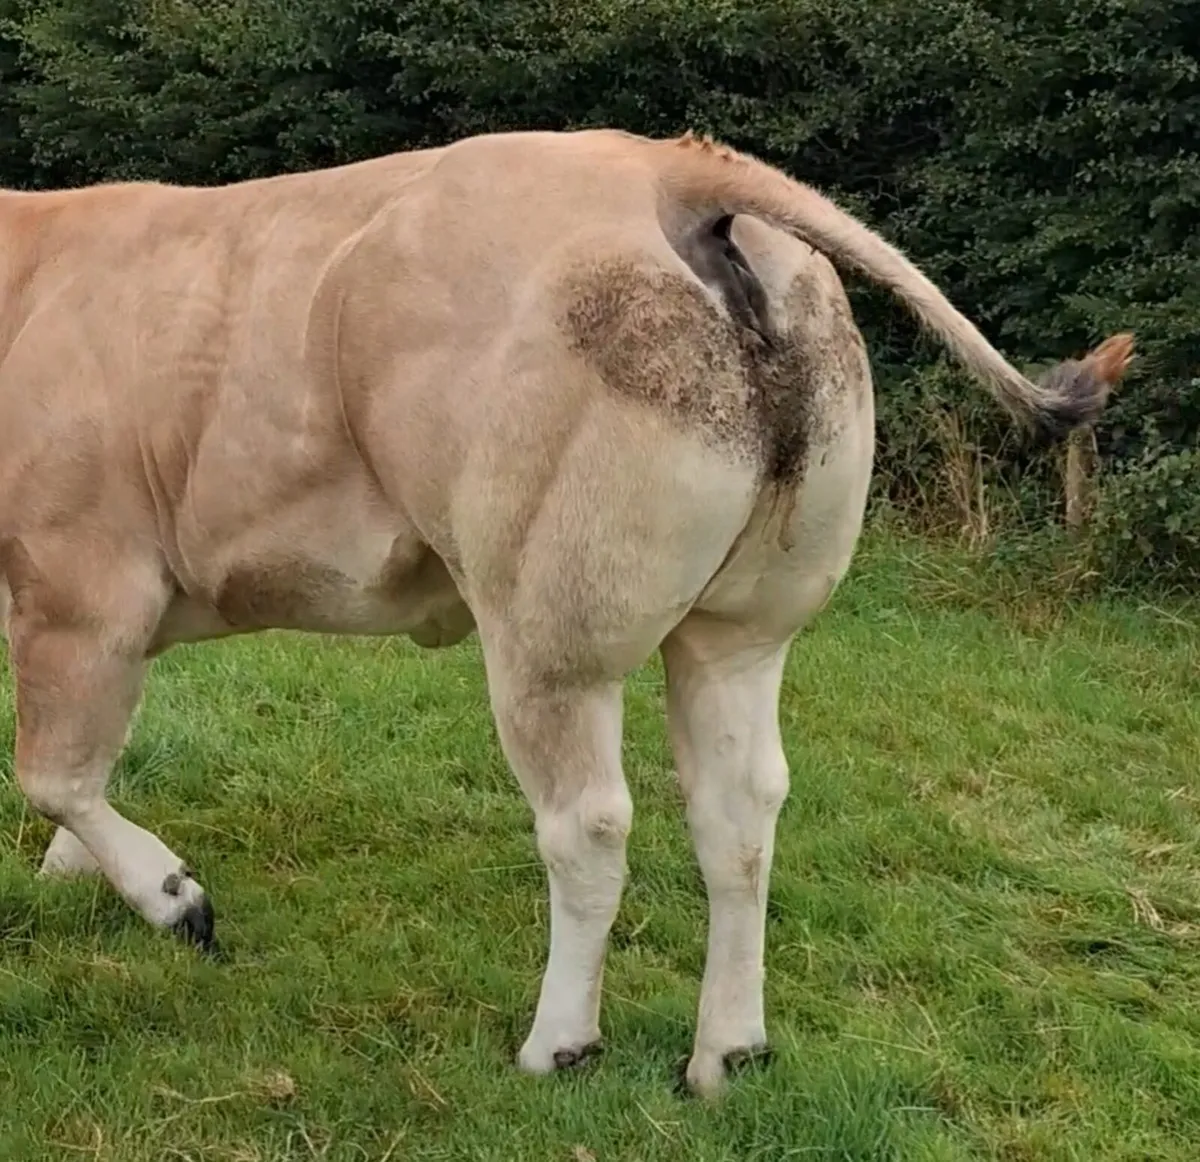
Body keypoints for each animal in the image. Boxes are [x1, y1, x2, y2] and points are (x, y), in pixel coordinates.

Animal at [0, 127, 1133, 1096]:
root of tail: (664, 167)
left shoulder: (79, 588)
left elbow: (55, 773)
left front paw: (172, 897)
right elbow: (98, 755)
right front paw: (76, 875)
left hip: (552, 632)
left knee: (588, 823)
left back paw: (562, 1043)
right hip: (744, 627)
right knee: (741, 813)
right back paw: (727, 1053)